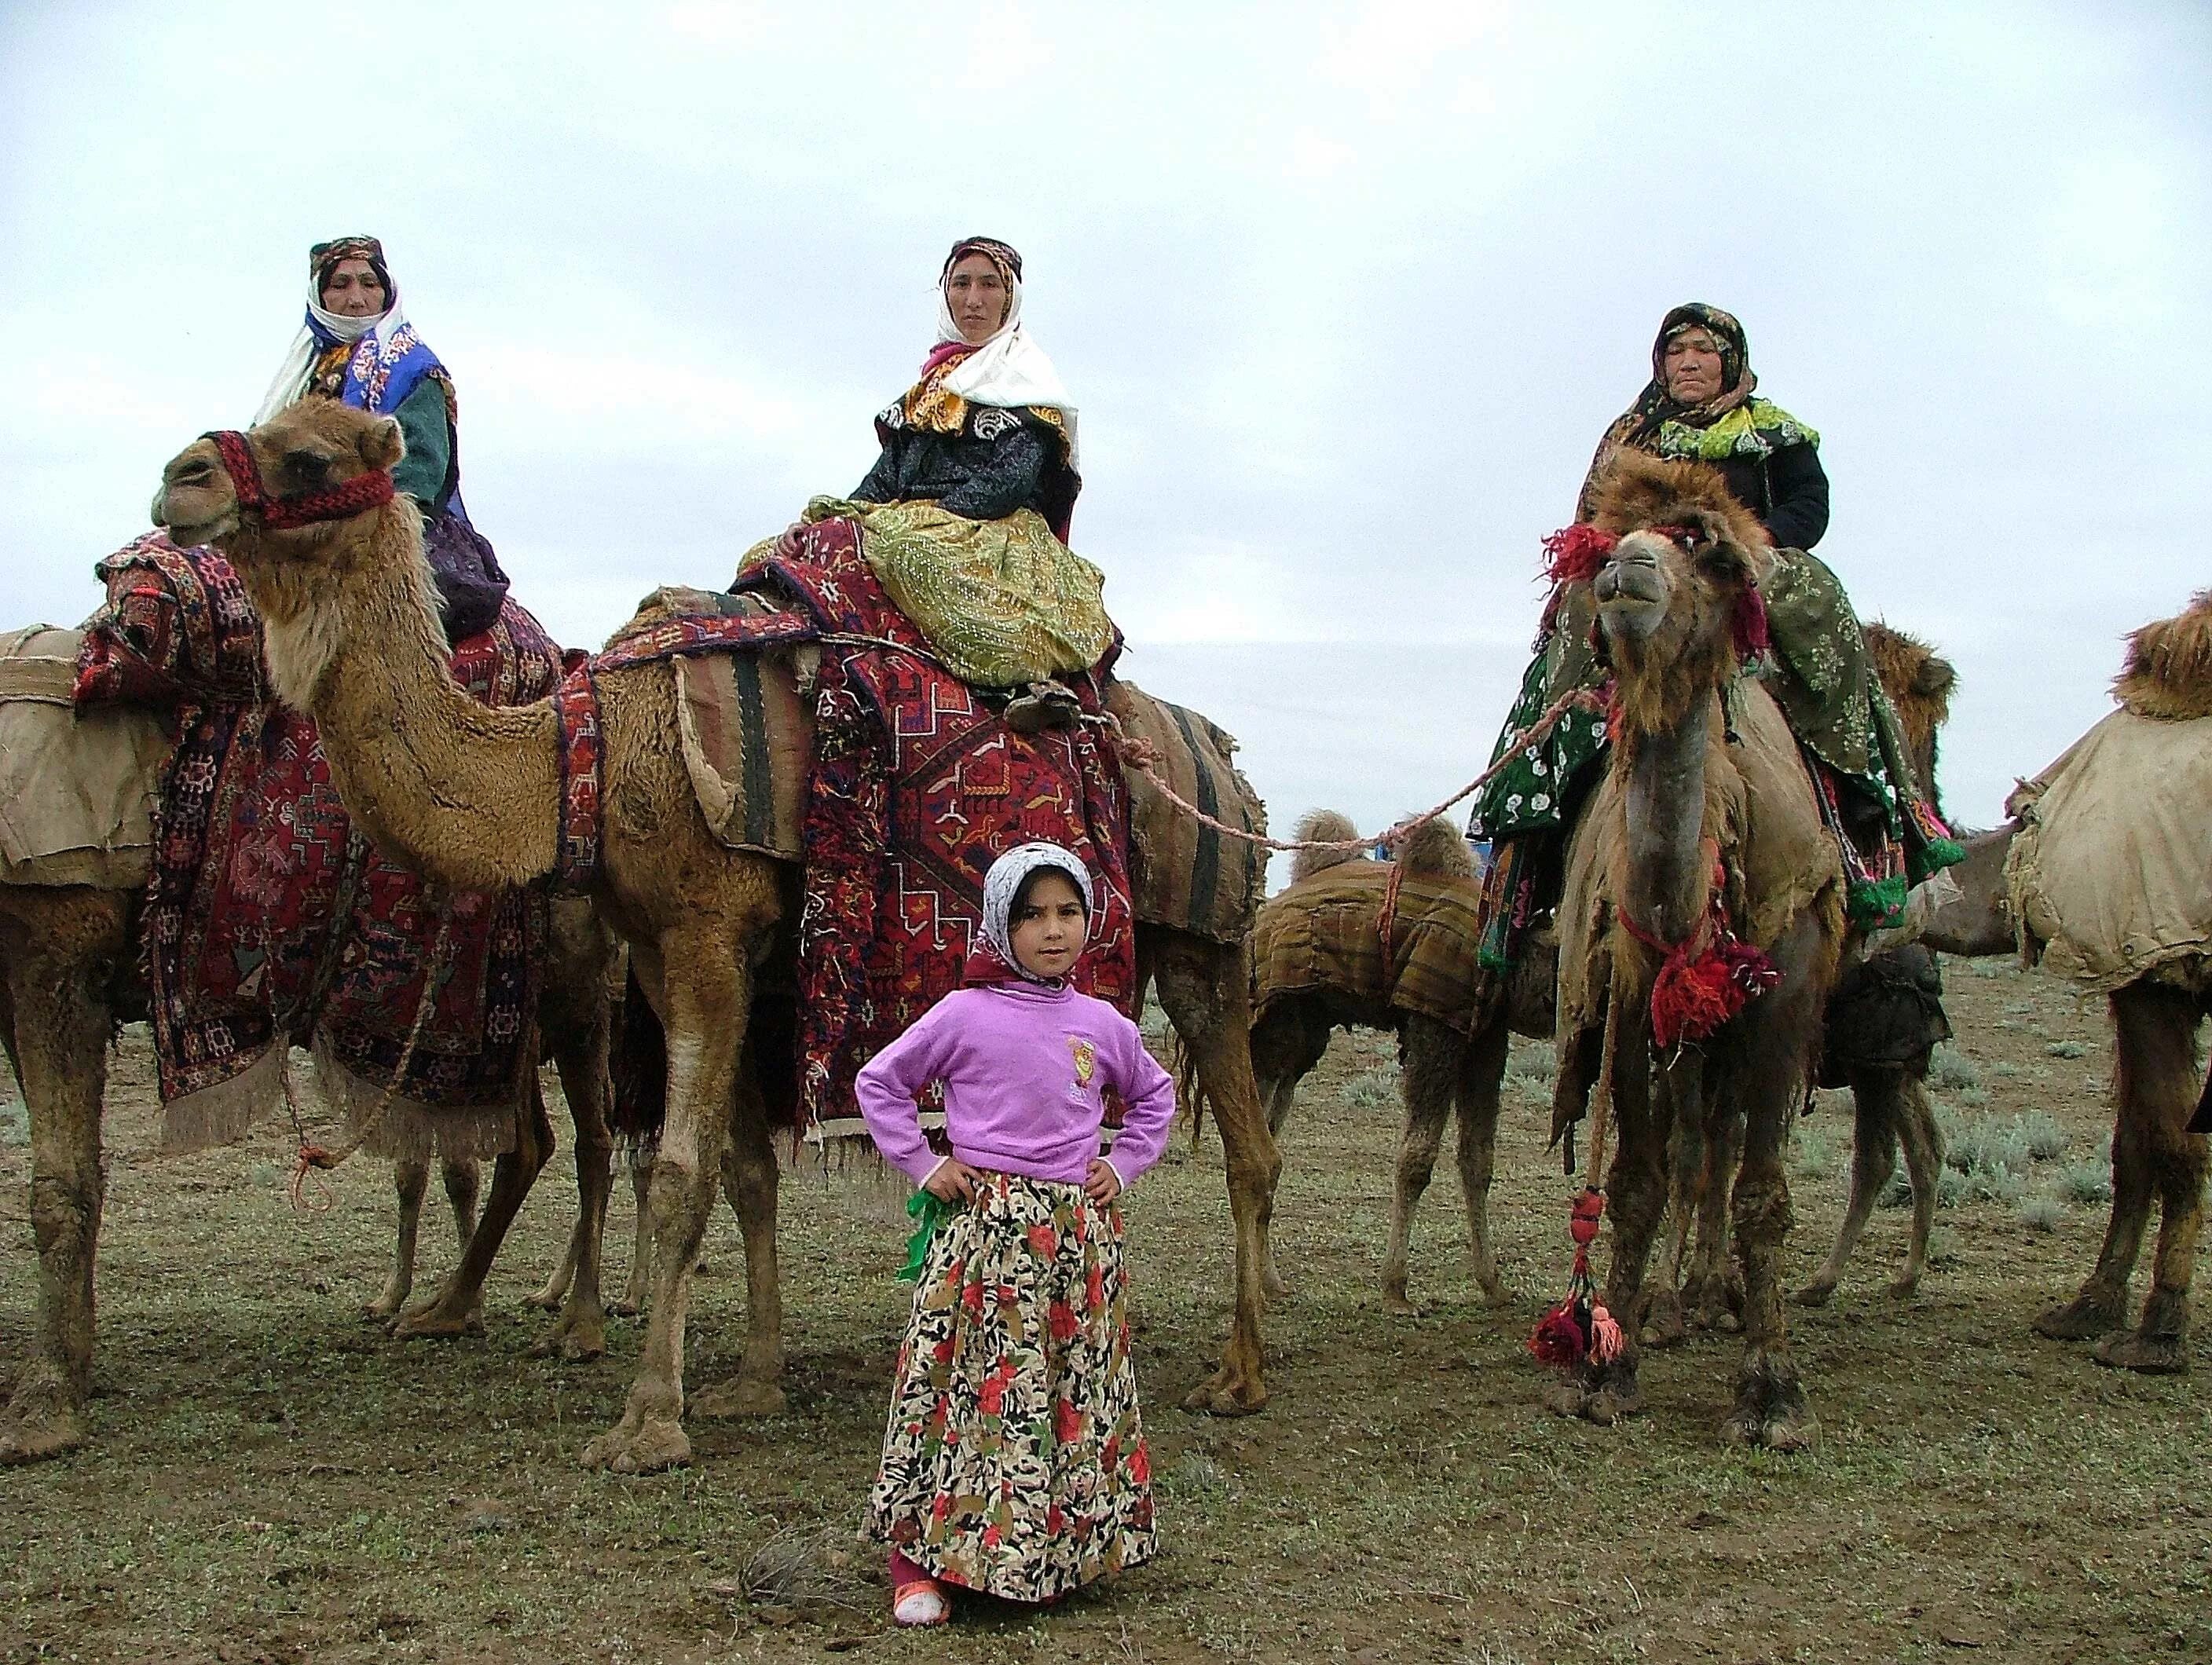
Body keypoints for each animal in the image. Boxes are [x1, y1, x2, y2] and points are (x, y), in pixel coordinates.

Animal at [2, 650, 624, 1468]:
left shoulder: (57, 940)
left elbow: (61, 1184)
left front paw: (44, 1405)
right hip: (519, 1016)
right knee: (529, 1145)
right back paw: (449, 1307)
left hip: (579, 992)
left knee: (593, 1140)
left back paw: (576, 1322)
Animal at [151, 402, 1283, 1468]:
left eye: (310, 456)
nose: (181, 476)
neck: (585, 757)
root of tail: (1227, 762)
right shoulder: (676, 954)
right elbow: (741, 1173)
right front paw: (751, 1379)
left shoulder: (704, 928)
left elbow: (677, 1177)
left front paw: (648, 1419)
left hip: (1204, 938)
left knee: (1249, 1147)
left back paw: (1238, 1374)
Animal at [1539, 451, 1849, 1441]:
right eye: (1595, 543)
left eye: (1709, 552)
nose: (1625, 567)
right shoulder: (1634, 991)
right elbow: (1636, 1178)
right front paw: (1606, 1367)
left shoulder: (1782, 996)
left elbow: (1762, 1194)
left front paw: (1772, 1390)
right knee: (1692, 1144)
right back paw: (1671, 1304)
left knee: (1721, 1144)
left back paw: (1716, 1295)